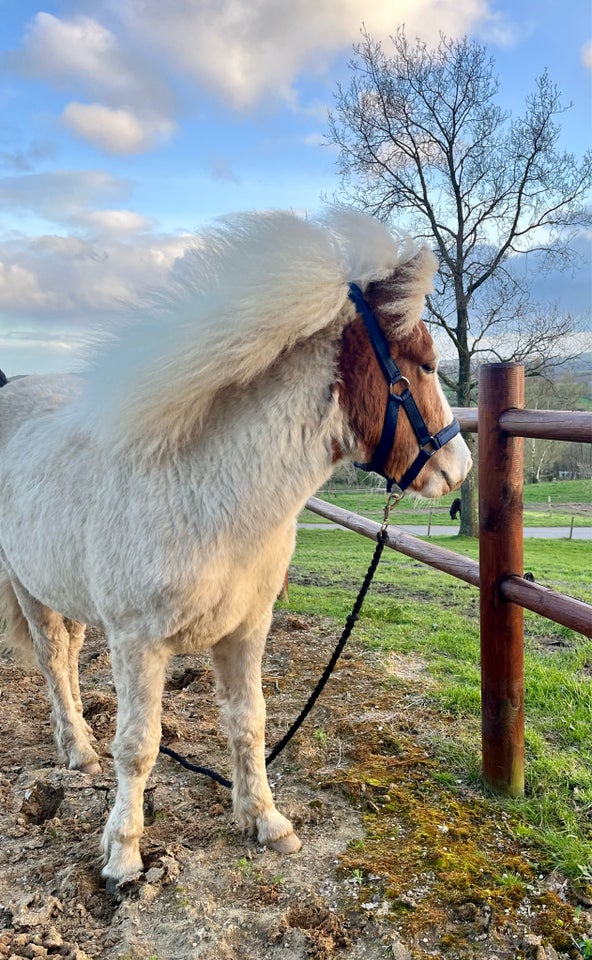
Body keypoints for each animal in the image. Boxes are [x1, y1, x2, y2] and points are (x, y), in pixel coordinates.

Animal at [0, 208, 472, 884]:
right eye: (428, 365)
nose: (458, 470)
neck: (207, 494)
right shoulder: (138, 645)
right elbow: (137, 748)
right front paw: (123, 854)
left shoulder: (247, 629)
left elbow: (248, 724)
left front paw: (267, 822)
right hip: (29, 588)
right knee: (53, 665)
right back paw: (78, 750)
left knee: (66, 654)